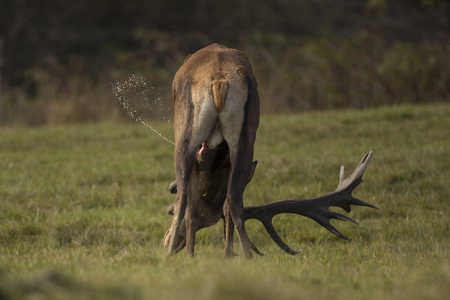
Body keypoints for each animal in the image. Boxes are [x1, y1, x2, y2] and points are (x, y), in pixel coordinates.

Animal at [163, 44, 378, 258]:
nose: (167, 241)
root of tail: (219, 81)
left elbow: (192, 208)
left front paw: (190, 255)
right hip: (245, 138)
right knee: (233, 198)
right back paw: (242, 256)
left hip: (185, 135)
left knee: (185, 197)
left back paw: (175, 256)